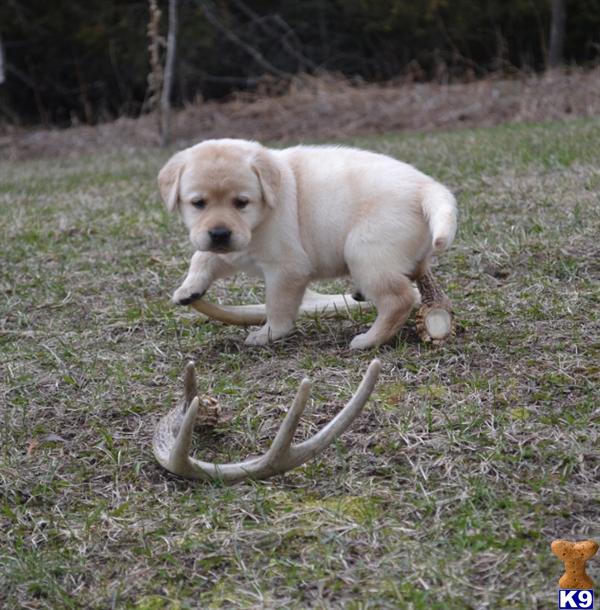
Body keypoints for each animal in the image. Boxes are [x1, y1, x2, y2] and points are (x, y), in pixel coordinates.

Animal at [157, 138, 458, 346]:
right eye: (198, 203)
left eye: (241, 202)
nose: (220, 233)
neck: (262, 217)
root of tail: (426, 186)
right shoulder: (232, 249)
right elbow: (202, 256)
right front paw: (188, 289)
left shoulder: (287, 269)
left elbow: (277, 306)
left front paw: (268, 334)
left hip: (365, 251)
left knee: (399, 299)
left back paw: (369, 340)